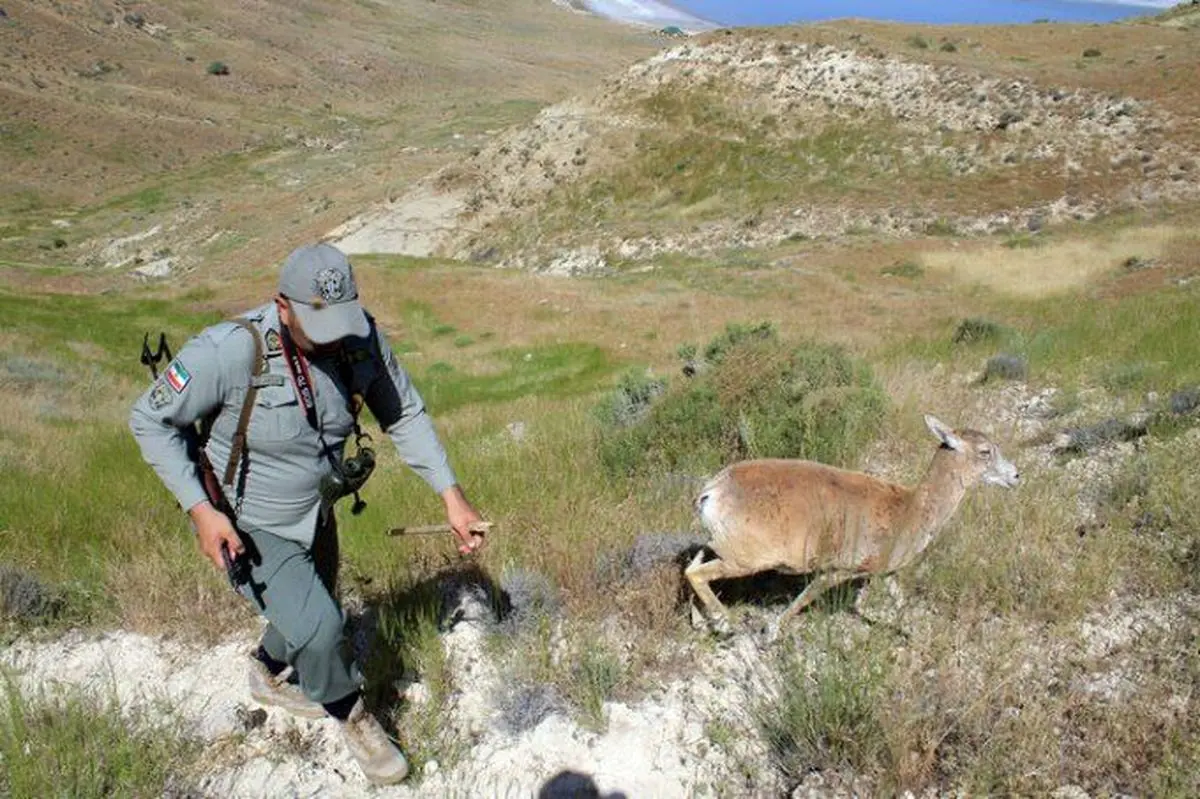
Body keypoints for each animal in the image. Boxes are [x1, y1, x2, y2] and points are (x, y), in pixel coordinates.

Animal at [691, 412, 1017, 638]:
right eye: (985, 450)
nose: (1016, 475)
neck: (911, 510)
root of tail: (712, 491)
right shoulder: (838, 568)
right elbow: (804, 599)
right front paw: (771, 632)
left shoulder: (881, 571)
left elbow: (889, 603)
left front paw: (915, 635)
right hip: (746, 556)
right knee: (695, 573)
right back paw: (725, 623)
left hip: (722, 544)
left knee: (695, 562)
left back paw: (704, 622)